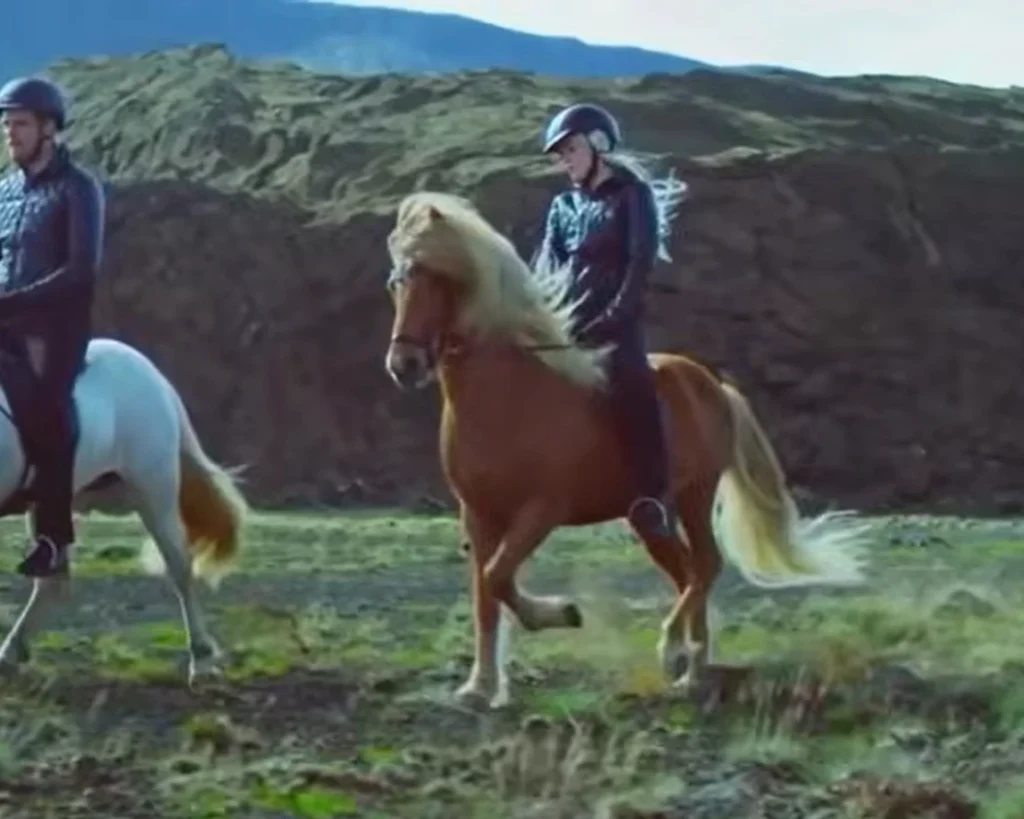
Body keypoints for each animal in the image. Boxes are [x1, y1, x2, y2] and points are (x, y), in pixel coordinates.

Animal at [0, 337, 248, 686]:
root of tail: (153, 374)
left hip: (154, 493)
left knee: (180, 569)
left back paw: (201, 660)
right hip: (56, 503)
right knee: (52, 581)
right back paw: (13, 651)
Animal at [382, 190, 871, 710]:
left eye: (437, 278)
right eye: (397, 282)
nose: (404, 364)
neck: (508, 394)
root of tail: (712, 383)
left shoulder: (543, 509)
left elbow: (497, 578)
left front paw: (560, 614)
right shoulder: (478, 514)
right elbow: (485, 594)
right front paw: (479, 686)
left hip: (696, 494)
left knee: (705, 566)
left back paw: (678, 655)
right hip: (650, 515)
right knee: (687, 571)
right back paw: (689, 671)